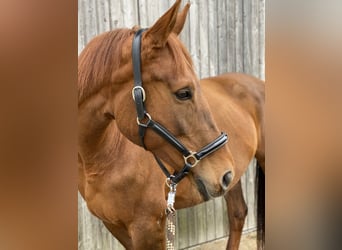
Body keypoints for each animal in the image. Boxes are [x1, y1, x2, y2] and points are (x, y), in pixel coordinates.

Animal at [78, 0, 264, 249]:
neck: (104, 156)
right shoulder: (116, 227)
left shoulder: (149, 227)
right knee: (237, 214)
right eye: (184, 93)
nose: (224, 172)